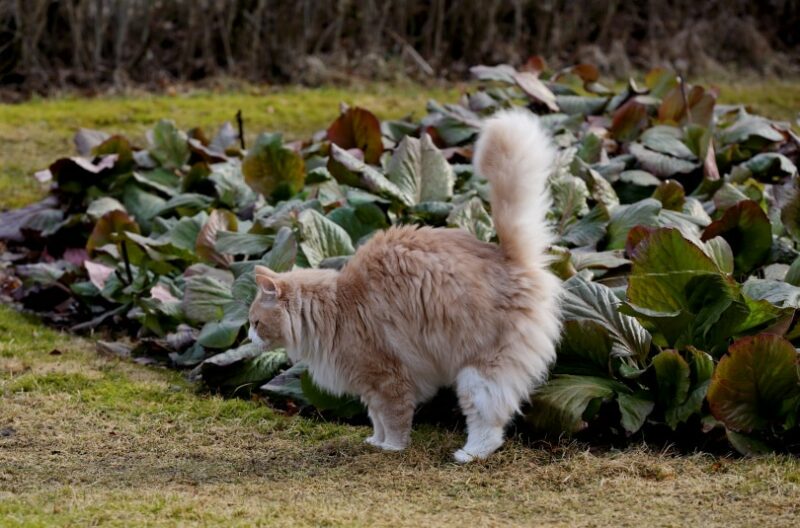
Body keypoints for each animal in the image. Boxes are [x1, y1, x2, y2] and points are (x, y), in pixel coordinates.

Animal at [250, 108, 564, 462]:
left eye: (255, 322)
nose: (248, 336)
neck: (334, 308)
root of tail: (509, 257)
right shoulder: (370, 388)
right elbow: (376, 419)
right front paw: (376, 442)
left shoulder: (389, 379)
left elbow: (395, 420)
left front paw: (392, 448)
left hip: (478, 373)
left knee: (488, 424)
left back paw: (468, 454)